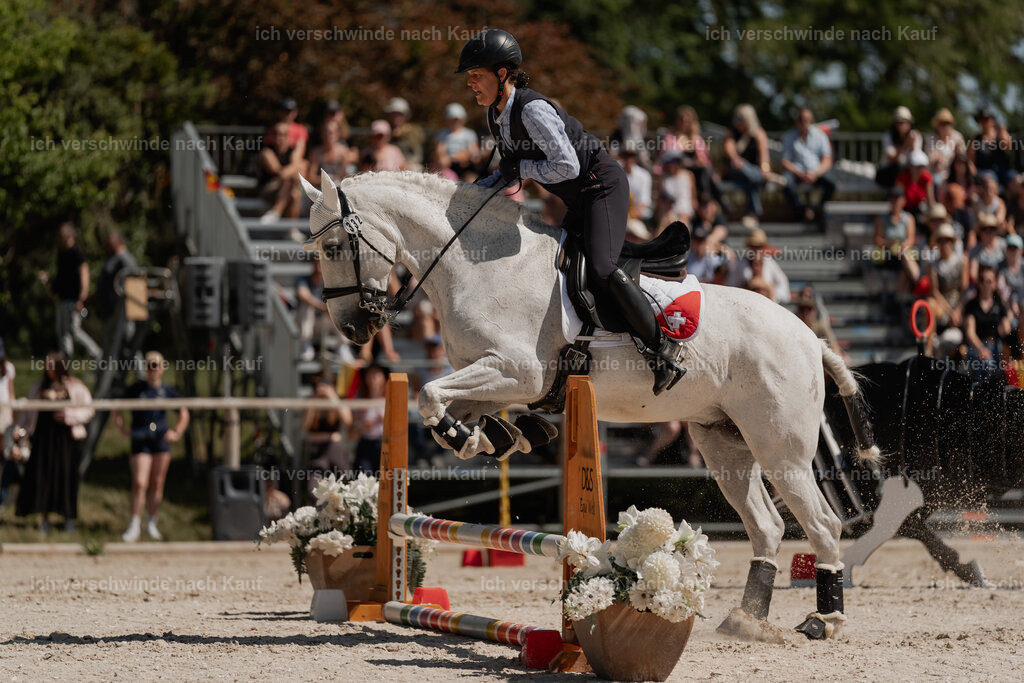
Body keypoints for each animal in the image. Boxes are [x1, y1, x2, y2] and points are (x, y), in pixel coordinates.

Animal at [298, 169, 881, 640]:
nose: (352, 329)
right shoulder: (495, 379)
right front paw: (496, 436)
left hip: (779, 445)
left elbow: (429, 394)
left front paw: (487, 436)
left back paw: (824, 619)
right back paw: (746, 620)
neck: (477, 266)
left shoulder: (517, 370)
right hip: (724, 442)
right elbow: (443, 405)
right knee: (767, 525)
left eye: (334, 248)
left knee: (822, 524)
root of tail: (808, 336)